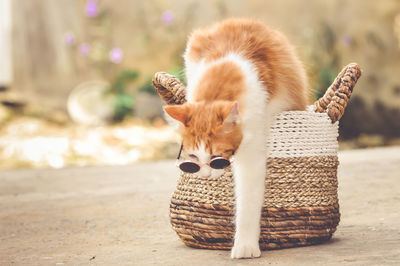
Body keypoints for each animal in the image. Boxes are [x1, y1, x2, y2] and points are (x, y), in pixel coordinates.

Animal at [164, 18, 308, 258]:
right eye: (193, 158)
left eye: (217, 158)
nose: (204, 175)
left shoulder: (252, 152)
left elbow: (248, 203)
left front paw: (245, 246)